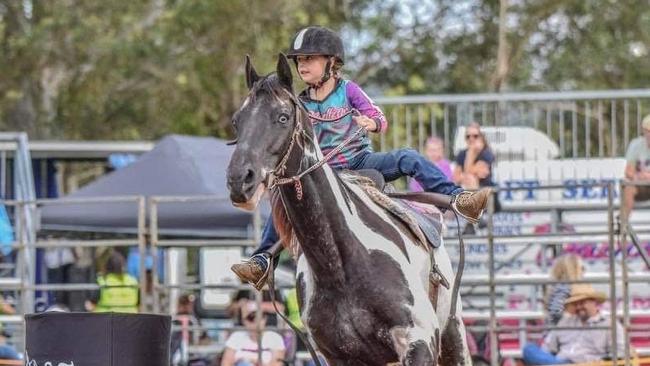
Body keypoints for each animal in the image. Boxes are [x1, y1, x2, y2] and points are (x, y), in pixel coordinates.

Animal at [225, 54, 468, 366]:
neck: (339, 264)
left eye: (283, 117)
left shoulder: (419, 340)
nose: (239, 179)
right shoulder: (337, 355)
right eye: (237, 121)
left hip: (452, 333)